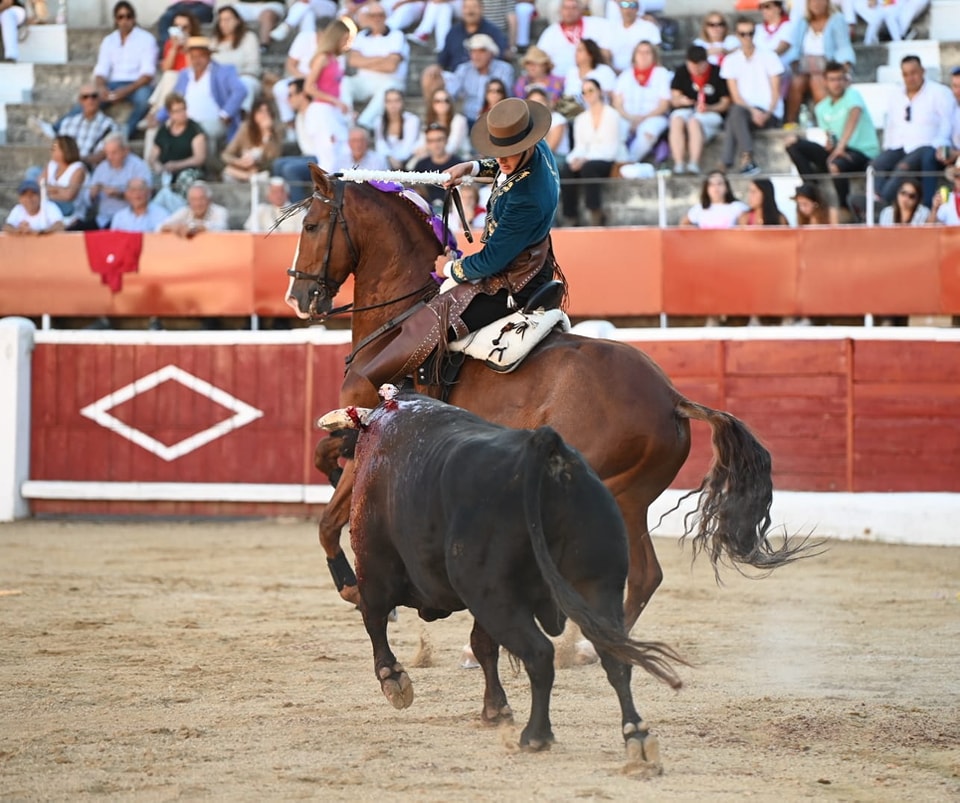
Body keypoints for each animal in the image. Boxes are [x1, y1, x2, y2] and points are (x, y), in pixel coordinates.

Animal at [284, 165, 804, 636]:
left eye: (311, 226)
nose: (297, 296)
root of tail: (671, 398)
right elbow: (323, 463)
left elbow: (328, 522)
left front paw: (354, 586)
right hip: (630, 496)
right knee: (642, 575)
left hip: (603, 490)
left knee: (627, 573)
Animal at [344, 398, 684, 756]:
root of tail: (545, 449)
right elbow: (483, 645)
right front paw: (496, 708)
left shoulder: (375, 566)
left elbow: (375, 618)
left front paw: (394, 679)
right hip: (596, 586)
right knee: (613, 654)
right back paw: (637, 734)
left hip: (494, 595)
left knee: (540, 654)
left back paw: (536, 735)